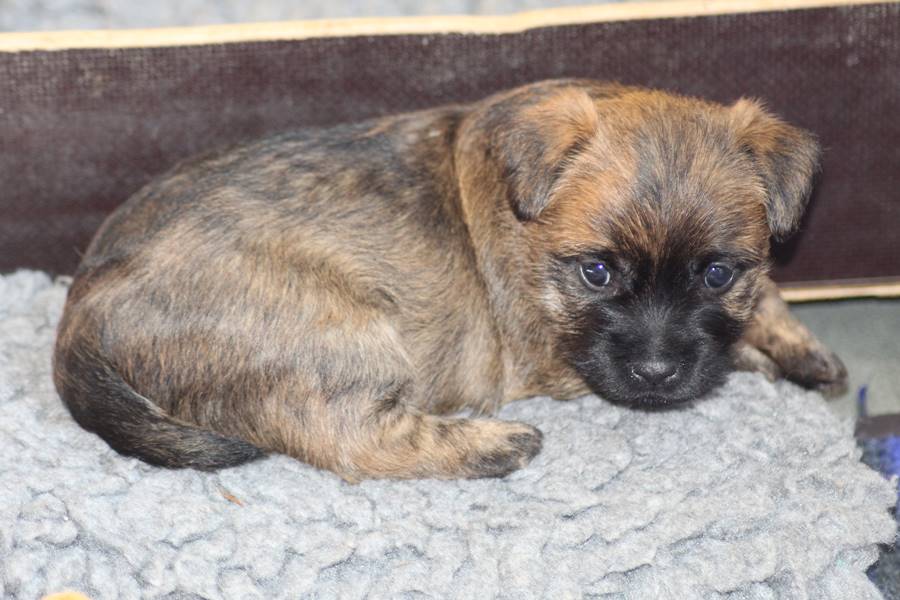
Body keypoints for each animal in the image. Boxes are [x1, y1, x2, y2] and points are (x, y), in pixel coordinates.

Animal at [53, 79, 847, 481]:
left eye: (716, 274)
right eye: (595, 272)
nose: (657, 373)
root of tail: (80, 317)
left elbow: (767, 295)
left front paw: (799, 346)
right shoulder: (551, 355)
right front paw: (760, 361)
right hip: (341, 334)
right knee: (349, 438)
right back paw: (494, 445)